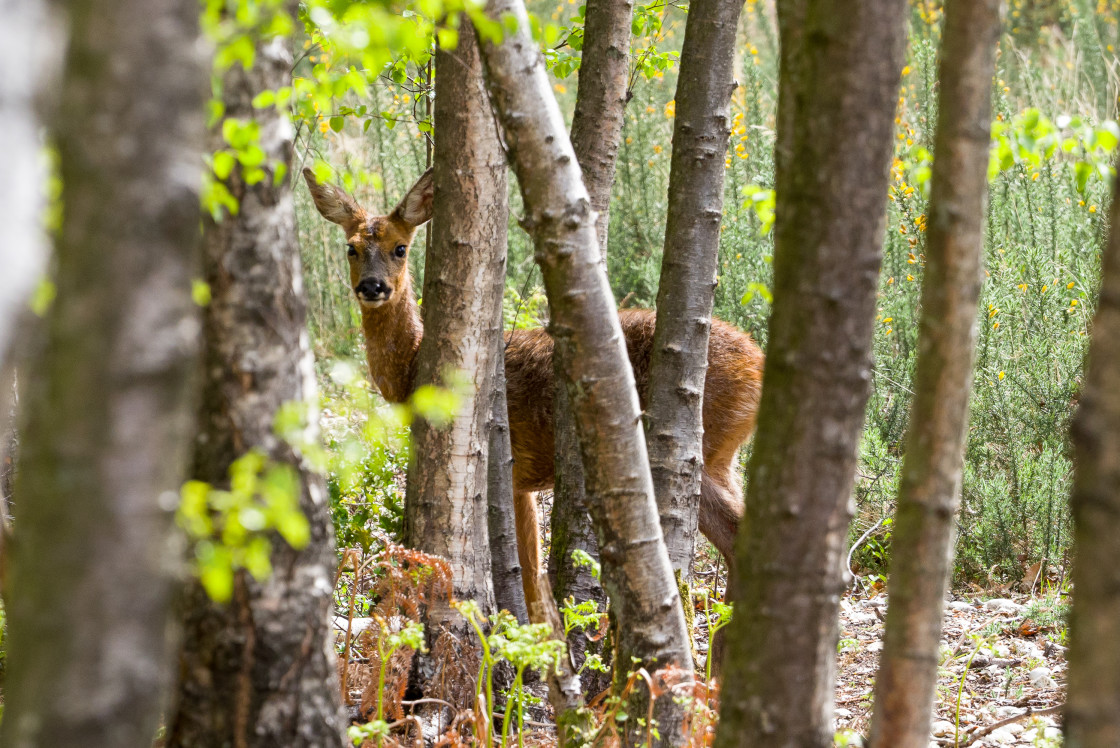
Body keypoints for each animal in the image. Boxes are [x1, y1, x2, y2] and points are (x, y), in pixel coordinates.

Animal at [302, 166, 766, 618]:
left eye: (400, 248)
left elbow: (527, 576)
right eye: (351, 248)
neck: (413, 369)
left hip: (698, 445)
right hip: (722, 458)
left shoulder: (509, 467)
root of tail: (758, 363)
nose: (372, 286)